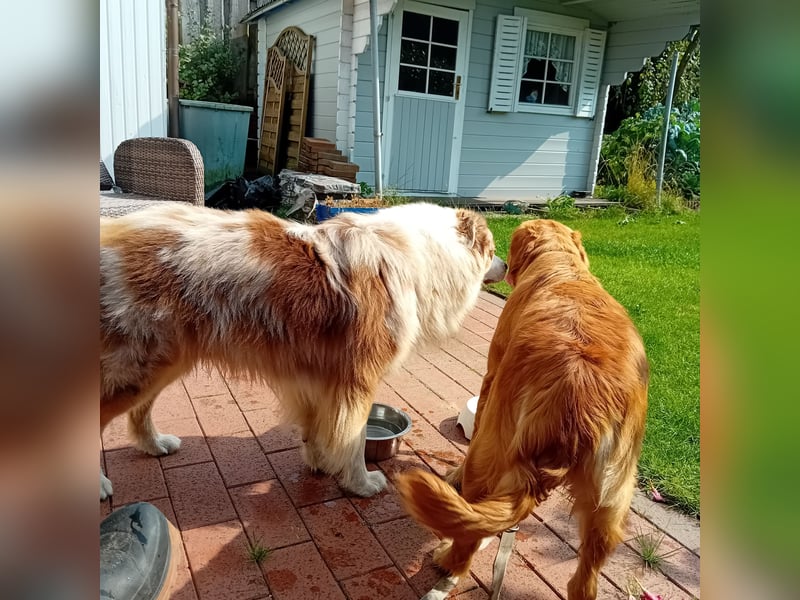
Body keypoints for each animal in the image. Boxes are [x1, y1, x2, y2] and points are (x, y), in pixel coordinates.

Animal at [97, 204, 504, 500]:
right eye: (492, 250)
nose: (507, 264)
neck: (421, 254)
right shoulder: (356, 381)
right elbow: (353, 439)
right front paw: (361, 484)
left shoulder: (316, 376)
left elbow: (316, 429)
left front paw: (319, 463)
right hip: (135, 366)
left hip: (164, 362)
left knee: (140, 409)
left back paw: (155, 445)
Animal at [396, 218, 648, 596]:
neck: (561, 262)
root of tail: (579, 409)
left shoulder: (491, 379)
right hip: (612, 495)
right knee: (583, 578)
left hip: (492, 447)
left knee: (469, 532)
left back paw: (448, 559)